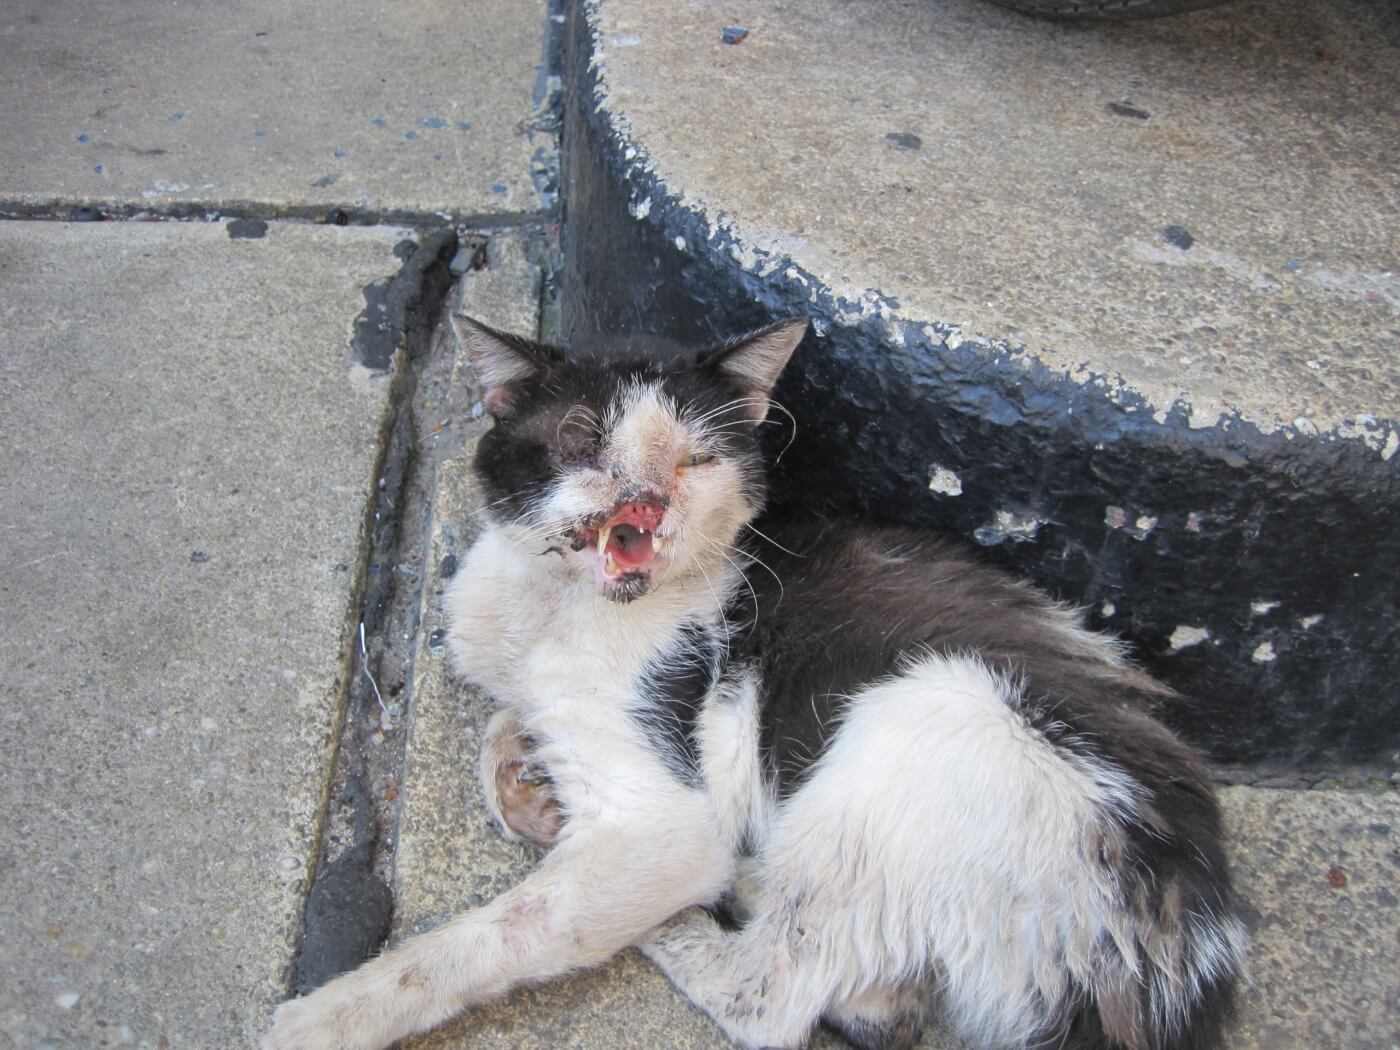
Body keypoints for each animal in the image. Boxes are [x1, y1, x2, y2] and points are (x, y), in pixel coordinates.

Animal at [263, 319, 1248, 1050]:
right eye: (583, 438)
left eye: (696, 461)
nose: (648, 500)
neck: (551, 607)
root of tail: (1171, 951)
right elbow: (505, 719)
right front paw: (524, 776)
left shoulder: (664, 812)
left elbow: (503, 930)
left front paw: (329, 1016)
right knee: (877, 1007)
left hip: (931, 714)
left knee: (770, 998)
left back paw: (692, 911)